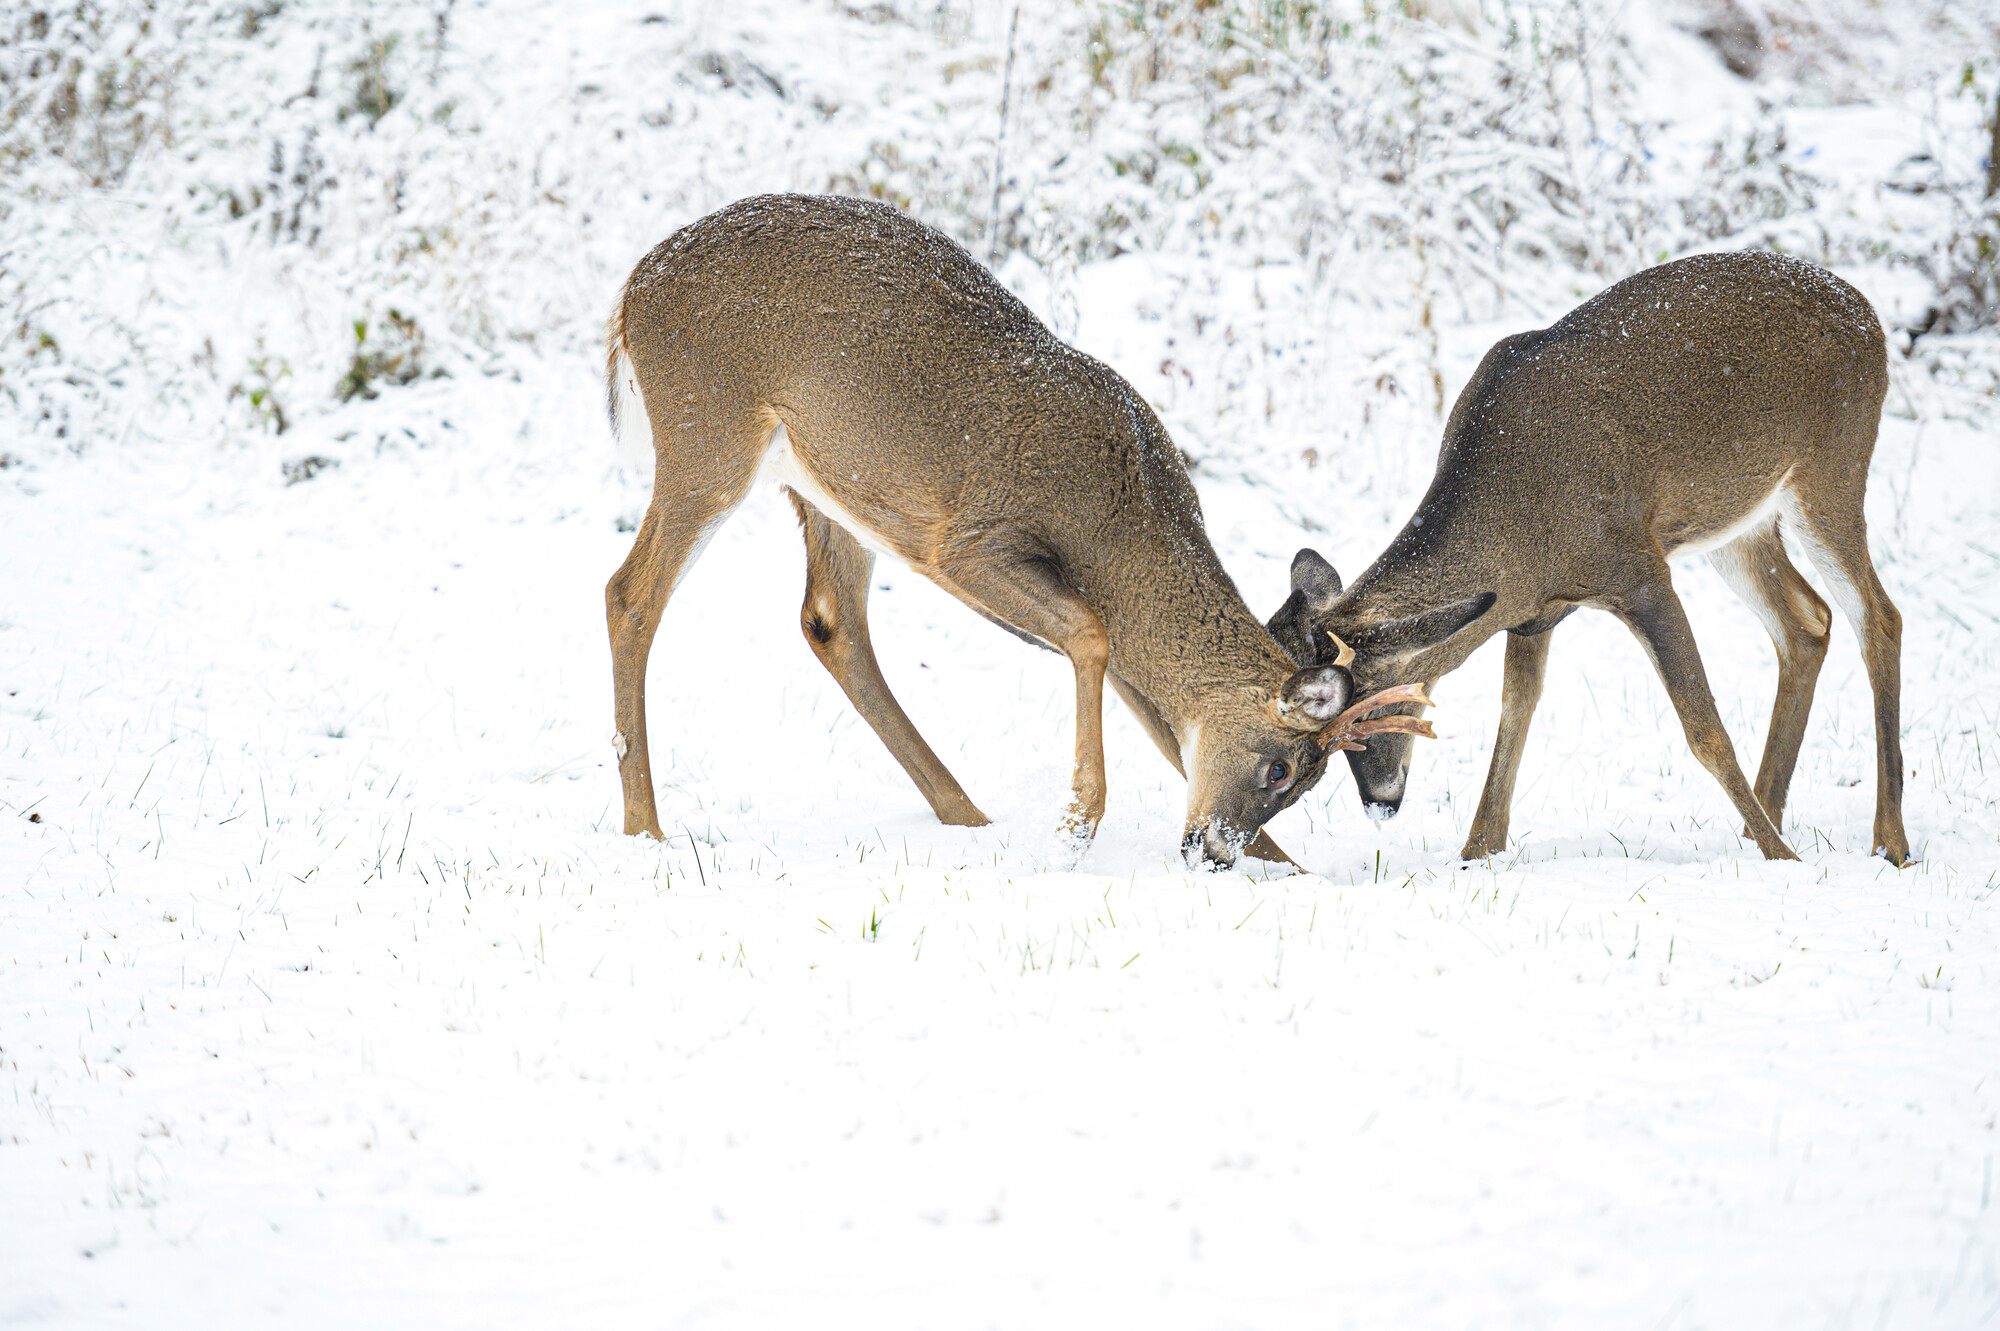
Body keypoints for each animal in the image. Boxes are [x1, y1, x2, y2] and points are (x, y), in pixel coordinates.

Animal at [603, 194, 1433, 867]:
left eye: (1307, 784)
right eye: (1280, 768)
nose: (1213, 852)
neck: (1125, 530)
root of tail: (633, 288)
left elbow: (1164, 724)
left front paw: (1289, 868)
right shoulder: (969, 541)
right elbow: (1091, 636)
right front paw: (1074, 827)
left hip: (830, 487)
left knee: (828, 618)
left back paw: (964, 814)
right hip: (707, 433)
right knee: (629, 593)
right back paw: (644, 825)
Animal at [1266, 250, 1911, 866]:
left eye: (1363, 714)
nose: (1380, 804)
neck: (1518, 524)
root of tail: (1867, 314)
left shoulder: (1641, 571)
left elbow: (1703, 730)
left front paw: (1789, 860)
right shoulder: (1532, 609)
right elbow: (1516, 712)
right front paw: (1478, 851)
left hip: (1833, 468)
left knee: (1879, 616)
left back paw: (1886, 842)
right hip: (1739, 522)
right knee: (1807, 621)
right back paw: (1764, 824)